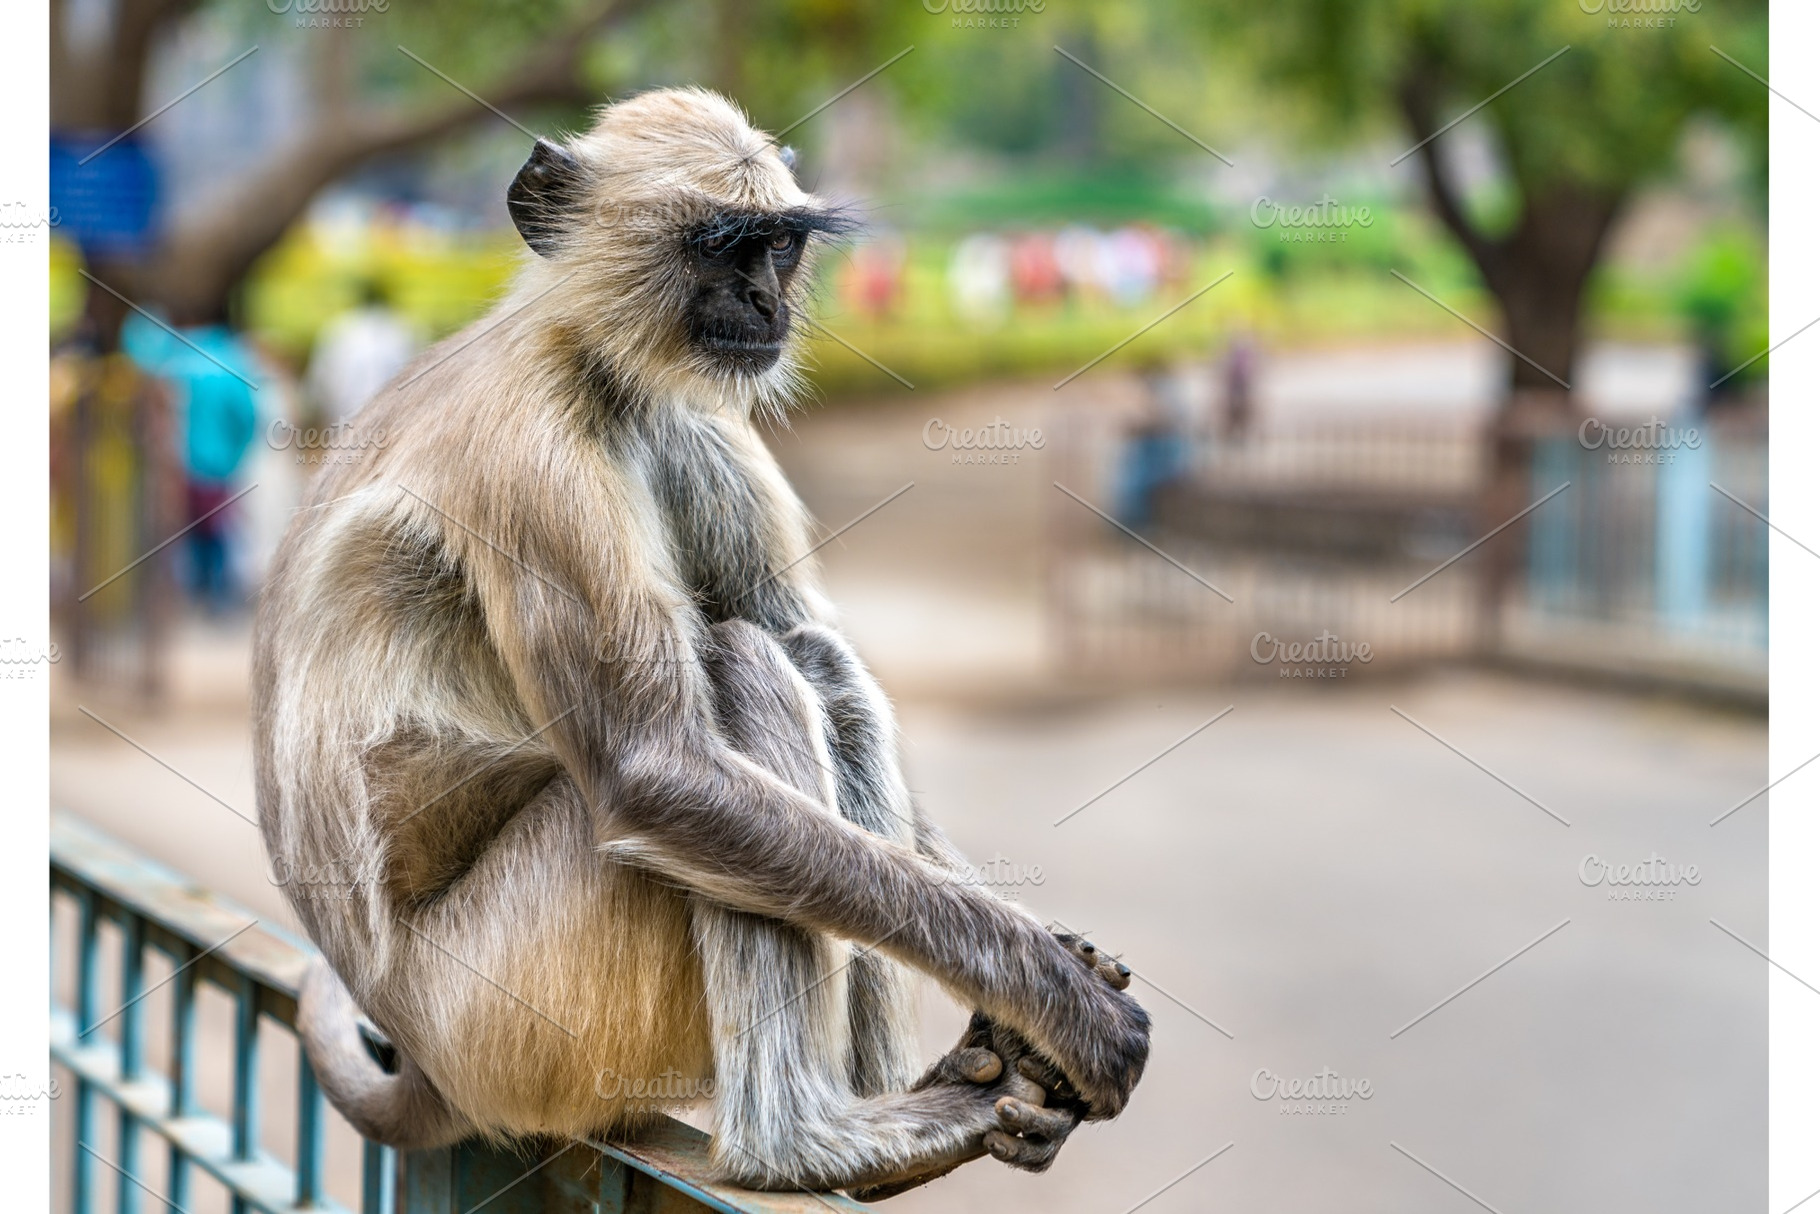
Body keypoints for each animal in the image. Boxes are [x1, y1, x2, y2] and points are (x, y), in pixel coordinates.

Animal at [254, 87, 1149, 1196]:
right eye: (720, 246)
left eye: (778, 246)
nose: (765, 304)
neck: (587, 359)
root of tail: (420, 1047)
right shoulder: (531, 457)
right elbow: (652, 773)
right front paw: (1066, 1004)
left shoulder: (692, 420)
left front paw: (1051, 977)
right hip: (507, 1008)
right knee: (738, 669)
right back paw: (803, 1145)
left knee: (808, 656)